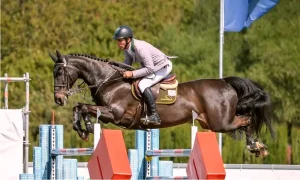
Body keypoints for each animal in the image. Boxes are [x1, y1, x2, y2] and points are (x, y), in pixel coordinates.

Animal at [50, 50, 276, 157]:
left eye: (60, 71)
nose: (58, 99)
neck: (109, 80)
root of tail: (224, 82)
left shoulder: (115, 114)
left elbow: (83, 107)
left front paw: (85, 128)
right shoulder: (108, 114)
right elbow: (80, 107)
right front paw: (83, 129)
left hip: (220, 122)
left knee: (247, 120)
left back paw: (255, 146)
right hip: (211, 123)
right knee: (245, 120)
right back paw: (257, 147)